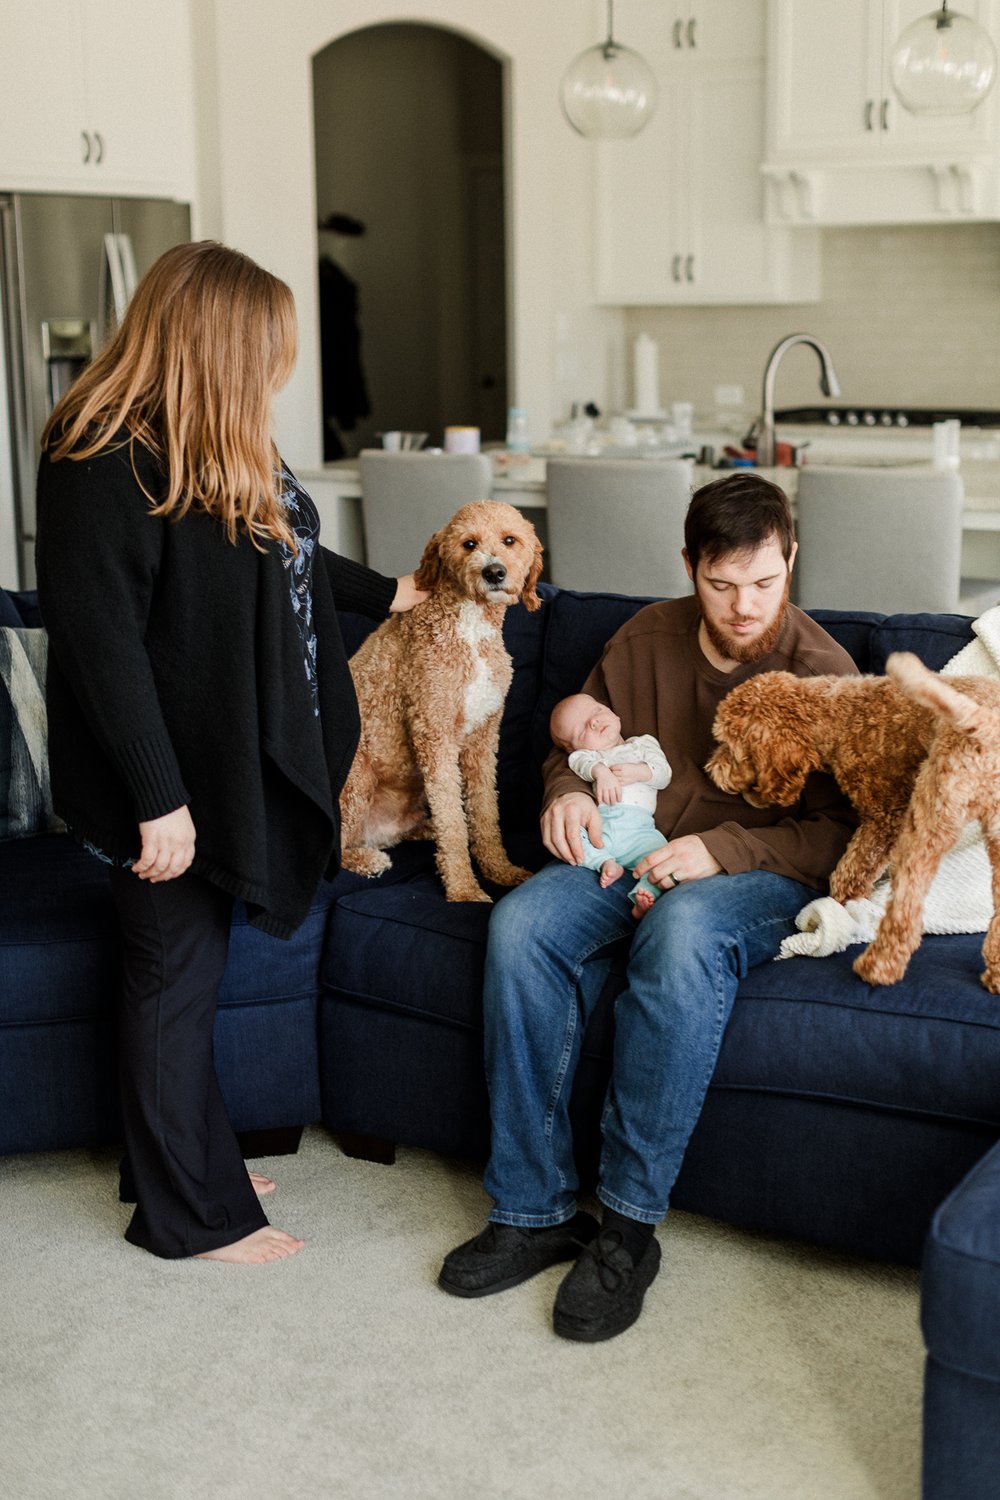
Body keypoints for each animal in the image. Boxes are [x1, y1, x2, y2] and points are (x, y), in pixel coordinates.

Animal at [340, 501, 542, 900]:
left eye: (509, 540)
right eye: (469, 543)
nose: (494, 571)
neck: (470, 628)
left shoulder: (483, 737)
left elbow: (483, 813)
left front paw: (499, 870)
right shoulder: (435, 735)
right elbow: (453, 821)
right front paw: (464, 890)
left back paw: (422, 831)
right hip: (357, 778)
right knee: (335, 848)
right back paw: (368, 860)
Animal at [704, 651, 1000, 990]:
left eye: (729, 744)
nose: (711, 770)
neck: (835, 716)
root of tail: (985, 723)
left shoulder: (884, 817)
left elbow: (849, 872)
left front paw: (841, 904)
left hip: (929, 819)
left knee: (906, 909)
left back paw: (877, 968)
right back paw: (996, 974)